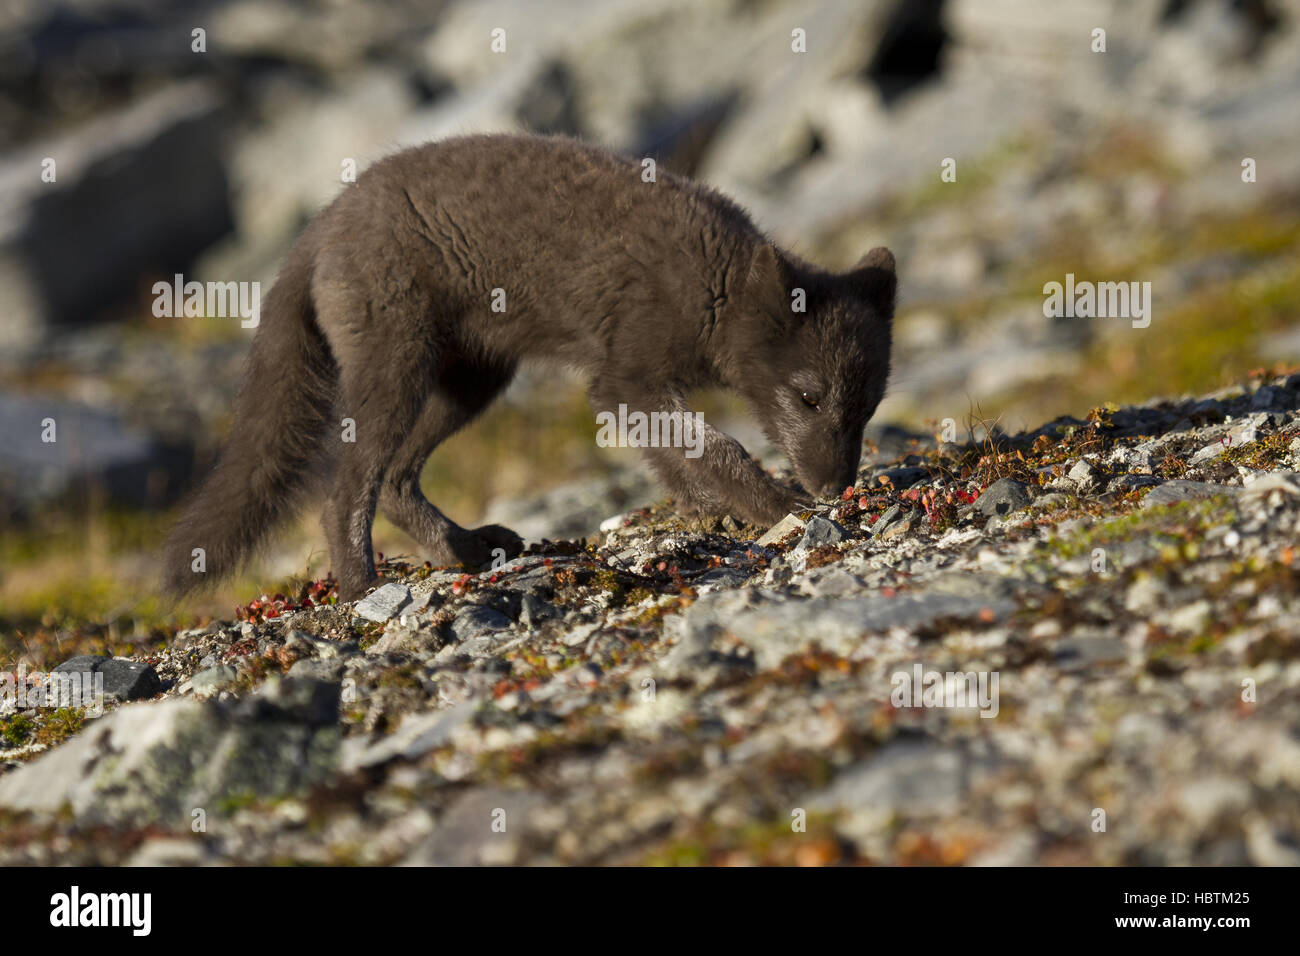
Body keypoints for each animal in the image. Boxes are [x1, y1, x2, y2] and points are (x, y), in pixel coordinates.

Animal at [159, 134, 894, 600]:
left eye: (868, 406)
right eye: (808, 398)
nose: (836, 486)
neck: (716, 282)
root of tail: (317, 228)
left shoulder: (622, 387)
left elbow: (669, 454)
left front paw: (705, 511)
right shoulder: (628, 373)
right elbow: (716, 445)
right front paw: (775, 504)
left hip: (472, 380)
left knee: (394, 480)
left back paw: (464, 549)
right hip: (397, 366)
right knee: (344, 492)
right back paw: (363, 587)